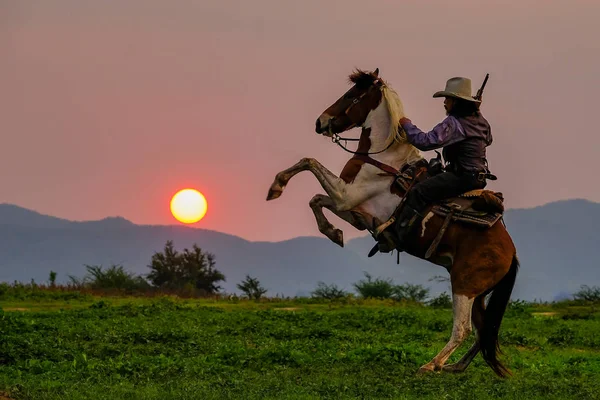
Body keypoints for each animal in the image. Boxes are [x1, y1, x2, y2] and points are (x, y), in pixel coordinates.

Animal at [264, 67, 516, 376]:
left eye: (351, 95)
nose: (320, 122)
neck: (382, 158)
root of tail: (511, 251)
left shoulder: (345, 196)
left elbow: (308, 163)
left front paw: (276, 186)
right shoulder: (354, 210)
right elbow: (315, 200)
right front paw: (334, 232)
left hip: (464, 285)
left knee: (463, 329)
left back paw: (431, 365)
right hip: (479, 294)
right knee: (484, 331)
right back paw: (455, 366)